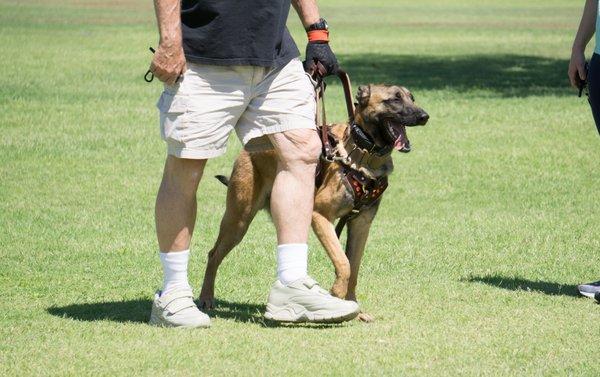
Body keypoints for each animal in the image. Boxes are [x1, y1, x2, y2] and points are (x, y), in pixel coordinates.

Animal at [199, 83, 428, 320]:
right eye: (395, 99)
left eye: (412, 98)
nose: (424, 116)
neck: (363, 154)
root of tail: (251, 146)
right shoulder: (320, 215)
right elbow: (344, 263)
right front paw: (337, 294)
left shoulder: (361, 224)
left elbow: (354, 267)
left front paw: (354, 307)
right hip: (239, 220)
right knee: (213, 254)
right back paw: (206, 297)